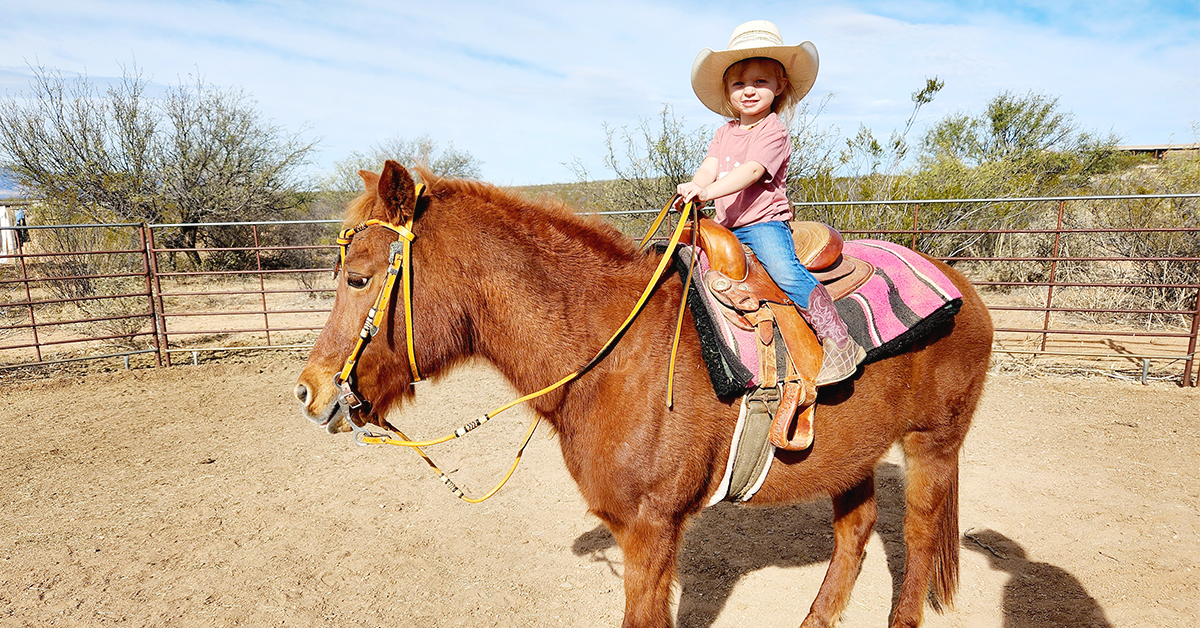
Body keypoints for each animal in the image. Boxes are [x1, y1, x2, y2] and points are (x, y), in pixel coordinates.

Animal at [294, 161, 994, 628]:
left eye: (357, 277)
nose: (310, 392)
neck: (612, 352)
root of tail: (960, 284)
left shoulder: (651, 533)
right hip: (851, 454)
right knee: (854, 533)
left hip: (933, 445)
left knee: (919, 540)